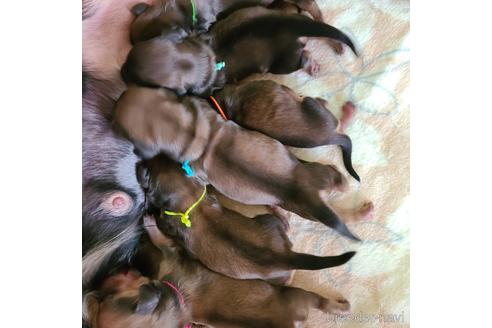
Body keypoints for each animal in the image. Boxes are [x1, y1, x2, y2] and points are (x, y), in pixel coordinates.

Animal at [92, 218, 352, 328]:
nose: (119, 266)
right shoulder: (169, 253)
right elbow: (160, 238)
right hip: (298, 294)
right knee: (323, 302)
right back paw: (343, 306)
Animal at [136, 155, 356, 284]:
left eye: (148, 169)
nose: (140, 161)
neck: (189, 199)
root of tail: (286, 256)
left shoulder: (169, 225)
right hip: (268, 223)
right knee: (284, 225)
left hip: (277, 276)